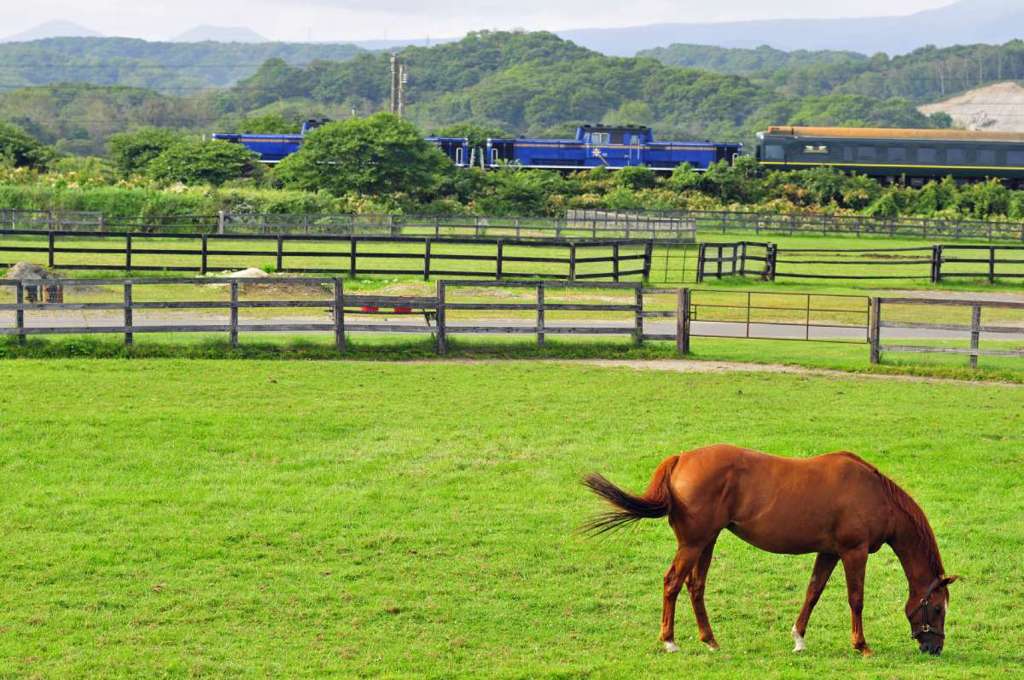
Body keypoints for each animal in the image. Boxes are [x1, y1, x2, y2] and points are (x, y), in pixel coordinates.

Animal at [589, 444, 954, 655]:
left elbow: (813, 592)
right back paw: (669, 640)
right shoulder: (854, 551)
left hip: (707, 541)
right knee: (672, 583)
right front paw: (861, 645)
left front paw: (799, 638)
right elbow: (856, 599)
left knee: (696, 586)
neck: (874, 493)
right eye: (937, 609)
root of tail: (681, 460)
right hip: (693, 543)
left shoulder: (830, 552)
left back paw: (710, 639)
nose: (934, 647)